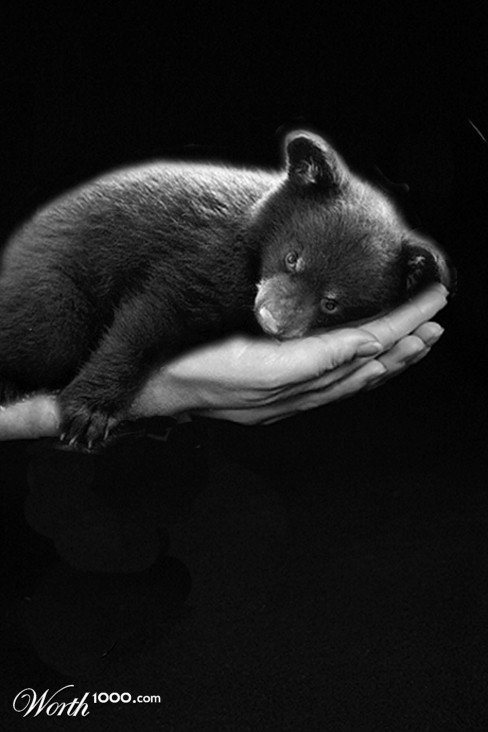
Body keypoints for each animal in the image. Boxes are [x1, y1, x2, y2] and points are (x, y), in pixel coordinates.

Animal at [0, 130, 452, 450]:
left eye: (331, 303)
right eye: (292, 257)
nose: (273, 318)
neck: (252, 240)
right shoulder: (200, 256)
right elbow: (147, 319)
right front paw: (89, 415)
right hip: (52, 300)